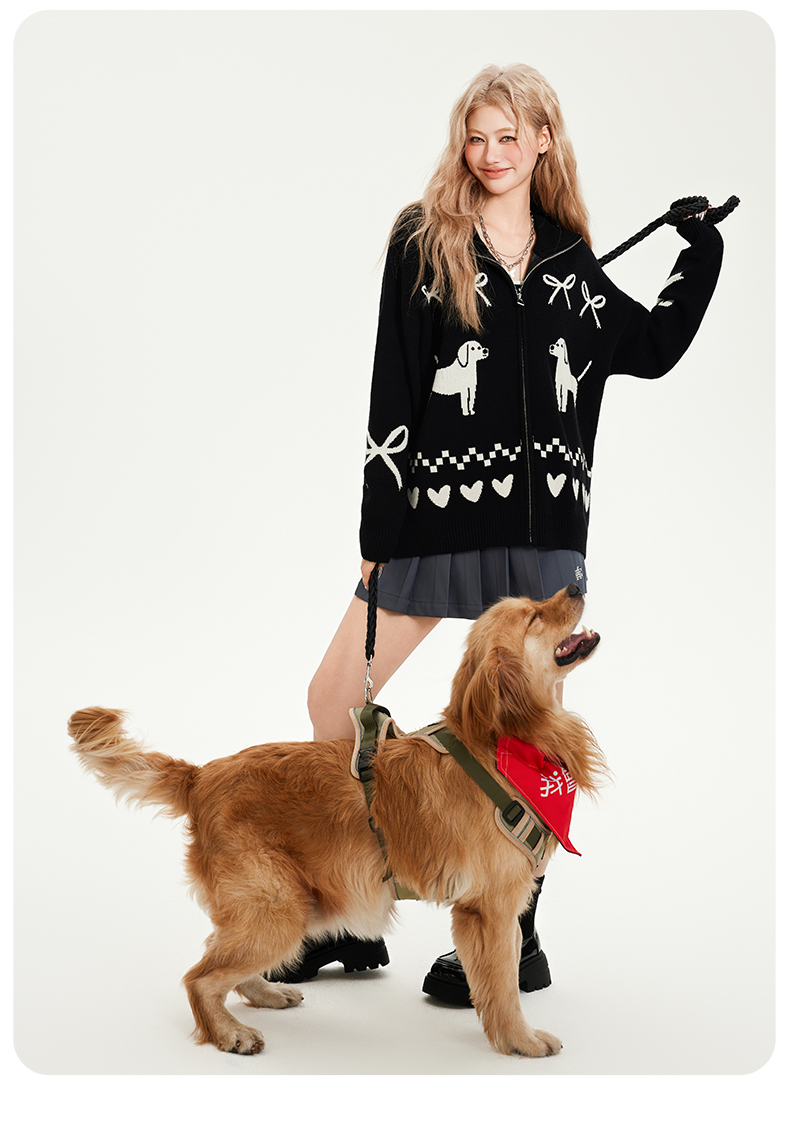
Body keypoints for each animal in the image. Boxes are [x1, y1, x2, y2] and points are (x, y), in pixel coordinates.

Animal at [68, 585, 605, 1059]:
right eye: (533, 616)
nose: (576, 586)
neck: (503, 743)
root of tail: (200, 777)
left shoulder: (505, 905)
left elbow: (508, 970)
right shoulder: (489, 907)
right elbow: (502, 986)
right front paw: (521, 1041)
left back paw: (264, 993)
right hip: (279, 907)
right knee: (199, 978)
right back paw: (231, 1033)